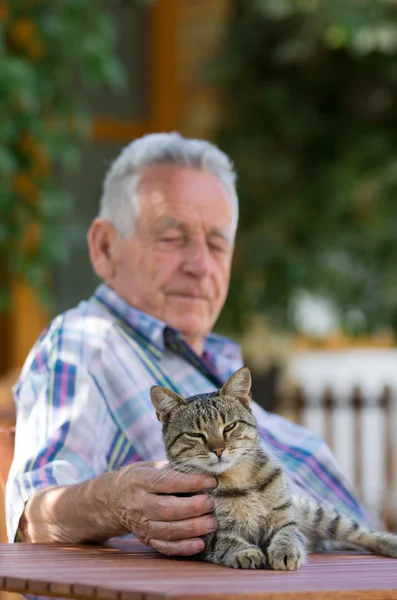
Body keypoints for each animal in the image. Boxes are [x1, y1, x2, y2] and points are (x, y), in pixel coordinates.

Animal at [149, 368, 396, 568]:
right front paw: (245, 551)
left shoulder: (284, 518)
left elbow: (287, 533)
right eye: (195, 434)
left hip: (318, 515)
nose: (218, 450)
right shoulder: (199, 536)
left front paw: (285, 551)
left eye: (229, 426)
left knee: (358, 532)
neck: (236, 480)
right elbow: (225, 540)